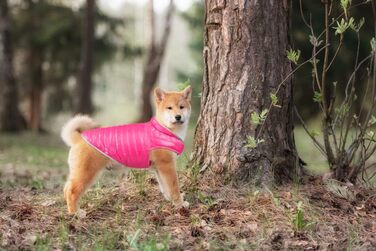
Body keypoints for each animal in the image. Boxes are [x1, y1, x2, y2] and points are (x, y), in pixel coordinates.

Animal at [61, 86, 192, 214]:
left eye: (181, 107)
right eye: (169, 108)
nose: (178, 116)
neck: (164, 129)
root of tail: (79, 138)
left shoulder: (159, 168)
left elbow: (165, 187)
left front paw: (170, 200)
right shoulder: (167, 165)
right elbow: (174, 187)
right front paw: (179, 204)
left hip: (79, 172)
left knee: (66, 188)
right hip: (87, 173)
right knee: (71, 191)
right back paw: (76, 213)